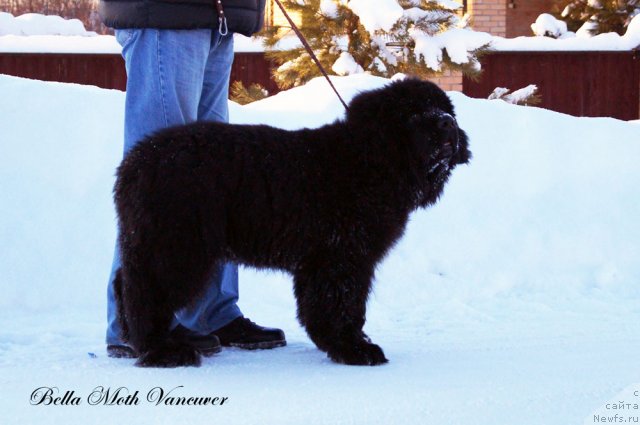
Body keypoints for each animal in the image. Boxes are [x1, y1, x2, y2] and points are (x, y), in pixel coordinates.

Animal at [112, 77, 470, 368]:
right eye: (413, 113)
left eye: (443, 108)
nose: (447, 123)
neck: (369, 163)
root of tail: (134, 164)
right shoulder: (341, 257)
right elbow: (341, 304)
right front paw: (353, 348)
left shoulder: (330, 261)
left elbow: (336, 305)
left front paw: (345, 342)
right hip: (178, 244)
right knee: (145, 292)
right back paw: (162, 351)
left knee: (123, 282)